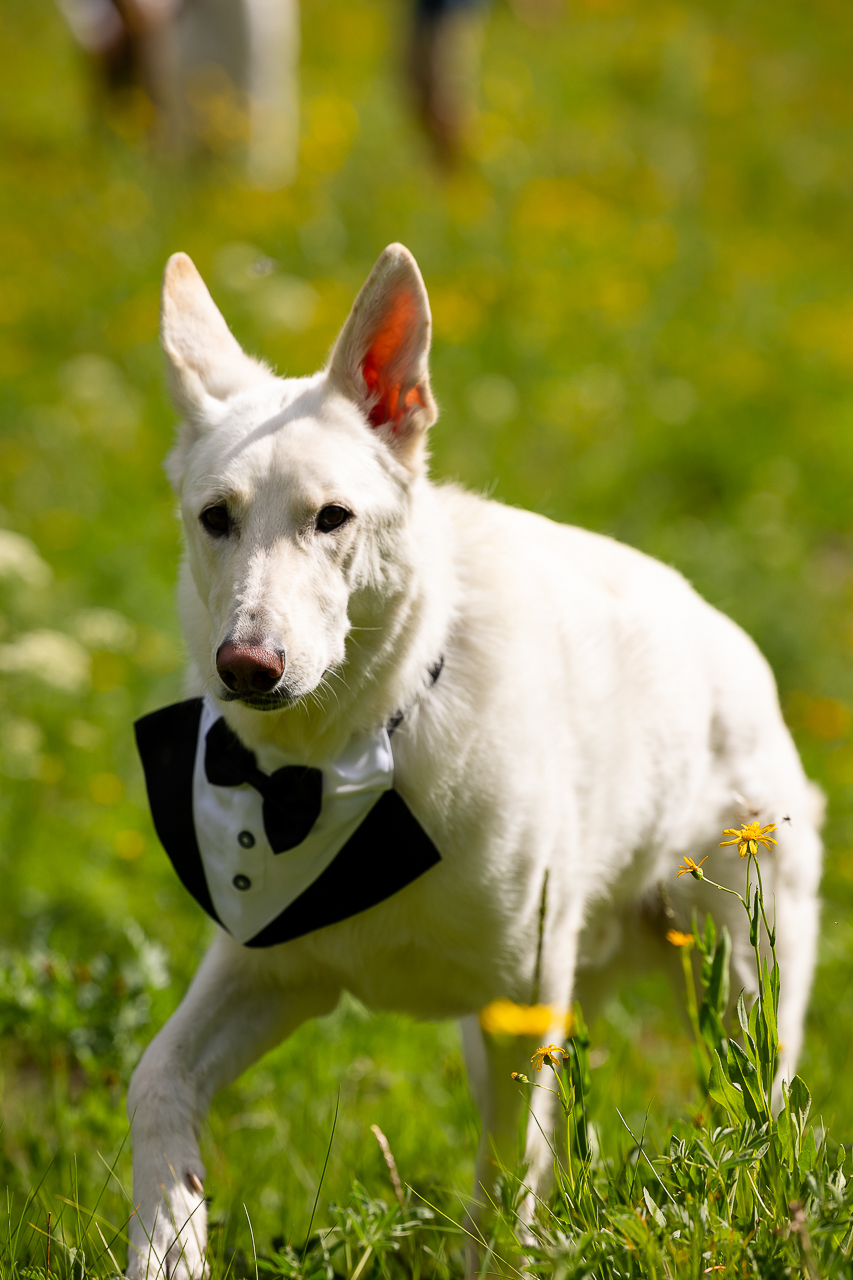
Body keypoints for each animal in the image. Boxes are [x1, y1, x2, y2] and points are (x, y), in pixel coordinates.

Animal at [124, 244, 819, 1274]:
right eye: (216, 518)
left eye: (331, 518)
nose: (246, 665)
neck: (342, 761)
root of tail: (737, 650)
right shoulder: (270, 974)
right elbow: (156, 1084)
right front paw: (168, 1244)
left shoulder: (519, 1006)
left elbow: (505, 1190)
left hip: (733, 984)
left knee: (754, 1109)